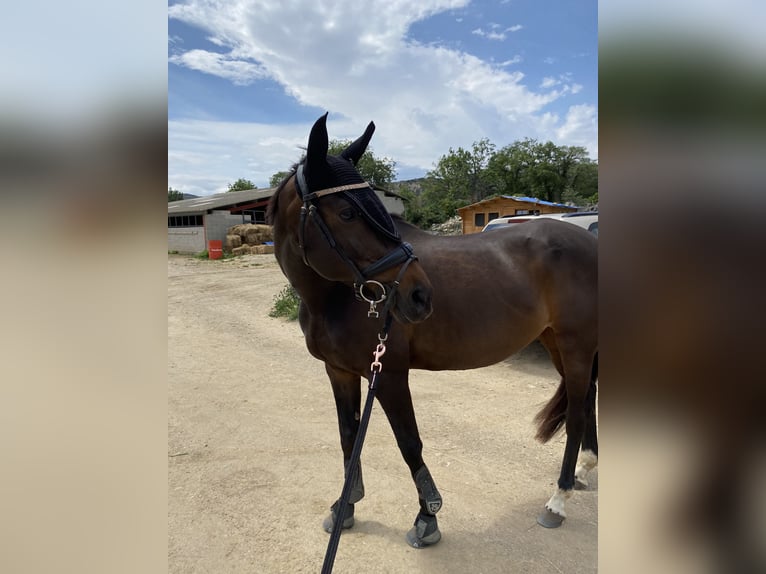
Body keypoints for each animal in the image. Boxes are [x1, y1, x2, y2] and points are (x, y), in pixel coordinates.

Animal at [267, 113, 598, 549]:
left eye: (378, 208)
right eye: (347, 213)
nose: (419, 295)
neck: (335, 297)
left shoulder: (388, 375)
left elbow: (409, 443)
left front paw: (427, 517)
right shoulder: (338, 372)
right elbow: (348, 438)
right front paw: (345, 507)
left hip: (577, 343)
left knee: (576, 413)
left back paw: (557, 501)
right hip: (557, 341)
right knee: (588, 400)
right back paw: (584, 471)